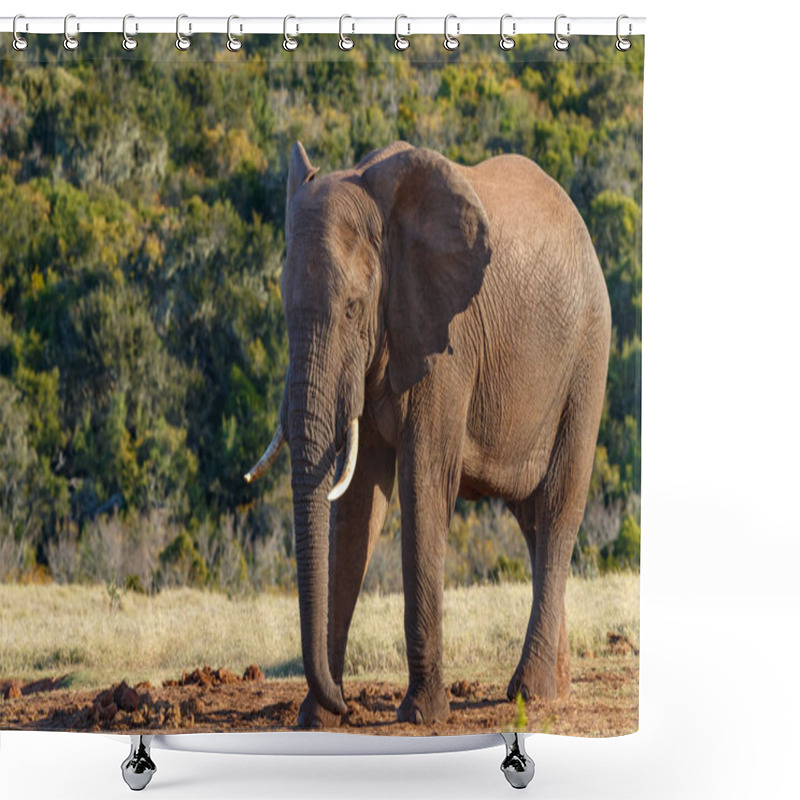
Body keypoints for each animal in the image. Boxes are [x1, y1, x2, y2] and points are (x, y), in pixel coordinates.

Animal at [247, 141, 608, 728]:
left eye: (353, 308)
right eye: (280, 307)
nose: (347, 703)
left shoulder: (446, 344)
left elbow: (423, 484)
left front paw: (421, 714)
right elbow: (356, 505)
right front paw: (317, 717)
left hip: (587, 357)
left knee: (557, 507)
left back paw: (529, 694)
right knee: (532, 520)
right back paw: (557, 688)